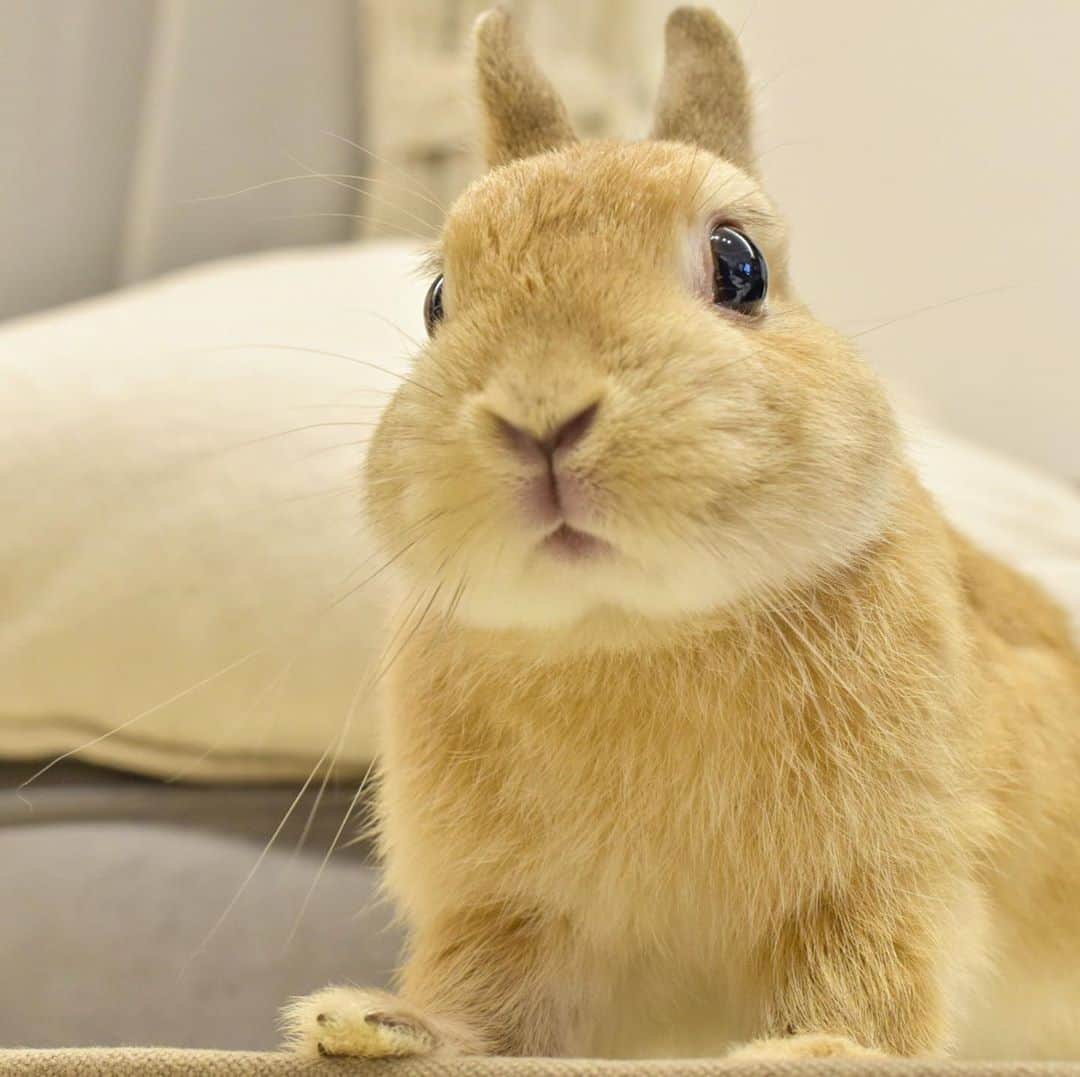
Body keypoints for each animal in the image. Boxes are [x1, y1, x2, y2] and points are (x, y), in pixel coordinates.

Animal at [282, 5, 1080, 1062]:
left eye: (741, 267)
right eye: (437, 302)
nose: (542, 412)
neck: (628, 628)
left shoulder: (886, 878)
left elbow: (871, 984)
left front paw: (805, 1054)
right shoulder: (508, 912)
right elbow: (489, 1001)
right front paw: (374, 1024)